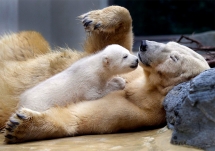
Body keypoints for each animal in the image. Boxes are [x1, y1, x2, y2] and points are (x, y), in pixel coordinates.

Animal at [0, 5, 209, 143]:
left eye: (174, 58)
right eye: (169, 43)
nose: (144, 45)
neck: (143, 88)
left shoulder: (135, 111)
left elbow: (77, 116)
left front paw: (22, 124)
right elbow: (107, 45)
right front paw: (95, 18)